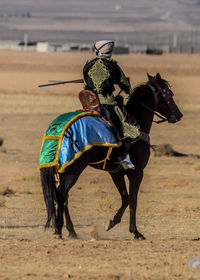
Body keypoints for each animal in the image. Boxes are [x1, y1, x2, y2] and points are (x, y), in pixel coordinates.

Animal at [40, 73, 183, 240]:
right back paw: (68, 230)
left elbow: (125, 198)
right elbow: (133, 200)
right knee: (62, 193)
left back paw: (62, 230)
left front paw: (111, 222)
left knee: (61, 195)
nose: (178, 115)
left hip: (63, 170)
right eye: (169, 94)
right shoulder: (137, 172)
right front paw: (135, 231)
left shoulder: (116, 173)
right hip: (73, 170)